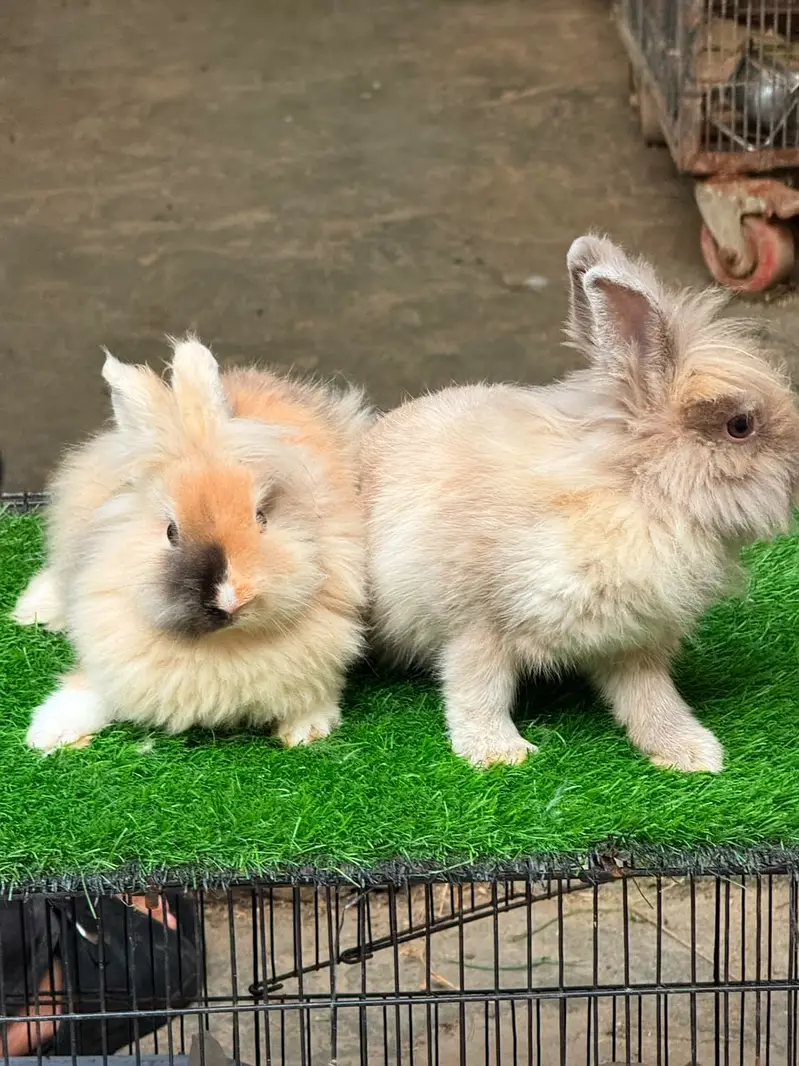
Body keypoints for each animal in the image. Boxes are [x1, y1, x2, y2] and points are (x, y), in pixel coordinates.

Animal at [13, 336, 370, 753]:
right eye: (171, 531)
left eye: (261, 516)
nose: (232, 599)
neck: (222, 645)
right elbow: (91, 688)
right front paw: (48, 733)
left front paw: (305, 730)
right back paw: (32, 612)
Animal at [360, 234, 799, 772]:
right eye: (740, 425)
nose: (797, 466)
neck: (636, 493)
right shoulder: (476, 625)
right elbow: (476, 690)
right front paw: (499, 754)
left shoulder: (634, 642)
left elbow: (651, 698)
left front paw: (691, 753)